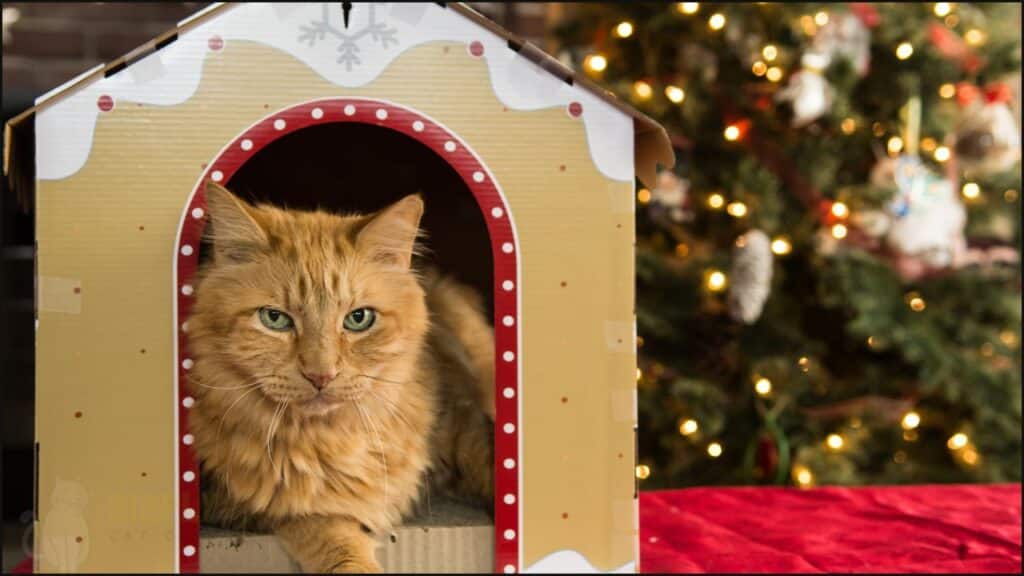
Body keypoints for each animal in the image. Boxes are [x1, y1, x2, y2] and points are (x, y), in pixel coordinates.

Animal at [186, 182, 493, 569]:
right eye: (275, 319)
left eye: (358, 319)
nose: (321, 375)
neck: (339, 435)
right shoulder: (245, 501)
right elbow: (330, 529)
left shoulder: (461, 420)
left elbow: (490, 461)